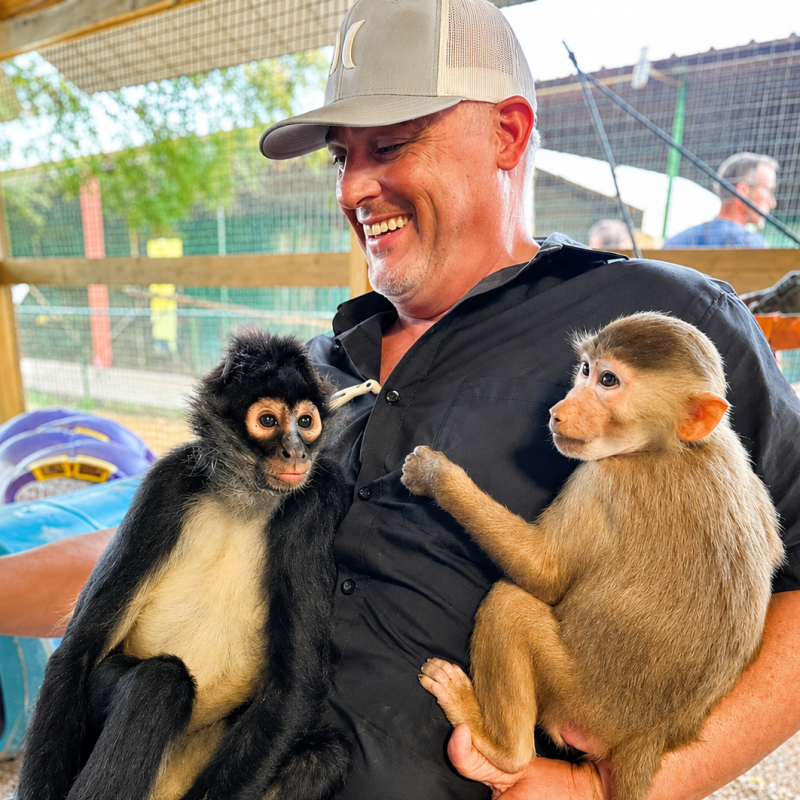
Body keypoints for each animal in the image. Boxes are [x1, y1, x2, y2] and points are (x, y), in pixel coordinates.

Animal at [15, 329, 352, 800]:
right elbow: (76, 653)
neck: (243, 501)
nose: (295, 451)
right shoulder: (167, 483)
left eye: (305, 422)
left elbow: (293, 693)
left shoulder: (315, 499)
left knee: (322, 757)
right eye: (268, 421)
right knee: (159, 681)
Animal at [401, 312, 785, 800]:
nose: (559, 410)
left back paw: (499, 747)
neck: (675, 445)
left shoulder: (603, 479)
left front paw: (435, 477)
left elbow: (543, 574)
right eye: (586, 370)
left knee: (509, 606)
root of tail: (649, 736)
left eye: (608, 381)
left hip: (574, 694)